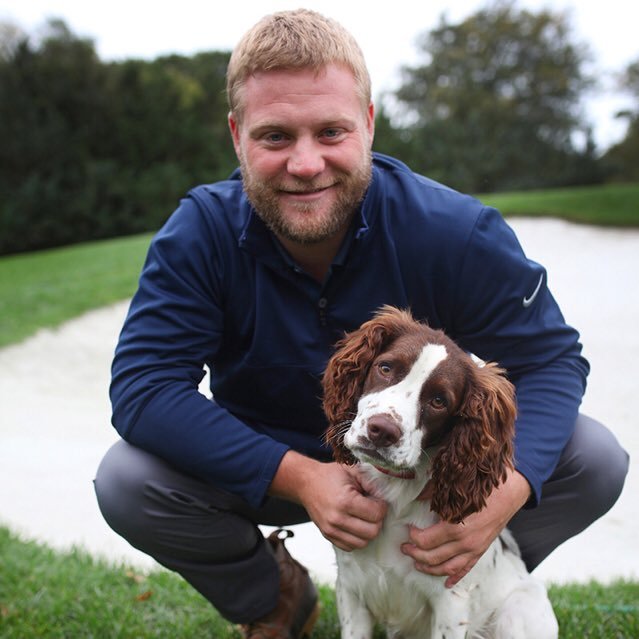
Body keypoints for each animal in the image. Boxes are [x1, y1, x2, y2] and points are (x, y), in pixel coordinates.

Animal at [322, 306, 556, 639]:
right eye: (385, 368)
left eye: (438, 401)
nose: (382, 431)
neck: (396, 491)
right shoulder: (351, 588)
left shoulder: (450, 600)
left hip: (516, 614)